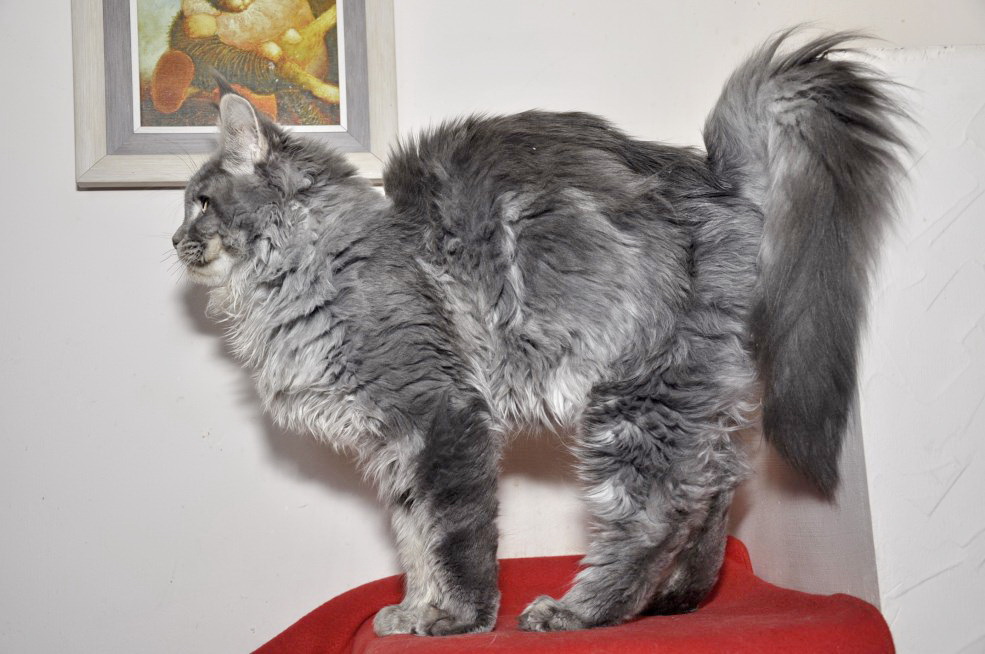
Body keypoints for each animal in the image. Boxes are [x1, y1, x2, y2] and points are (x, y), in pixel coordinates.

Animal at [172, 30, 907, 636]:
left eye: (200, 203)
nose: (174, 240)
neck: (307, 269)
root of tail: (716, 180)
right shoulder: (393, 446)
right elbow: (412, 538)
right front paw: (412, 610)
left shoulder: (437, 416)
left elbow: (451, 537)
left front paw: (458, 619)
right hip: (690, 387)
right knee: (715, 484)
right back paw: (674, 598)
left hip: (634, 393)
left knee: (660, 508)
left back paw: (586, 611)